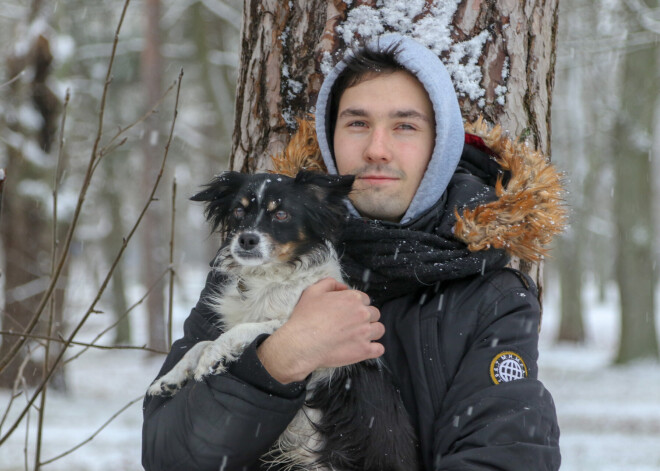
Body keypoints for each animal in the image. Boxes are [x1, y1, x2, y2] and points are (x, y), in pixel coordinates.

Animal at [150, 171, 418, 470]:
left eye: (281, 214)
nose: (247, 240)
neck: (270, 277)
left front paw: (213, 356)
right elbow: (200, 343)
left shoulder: (295, 323)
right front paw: (171, 377)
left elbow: (241, 330)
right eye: (239, 210)